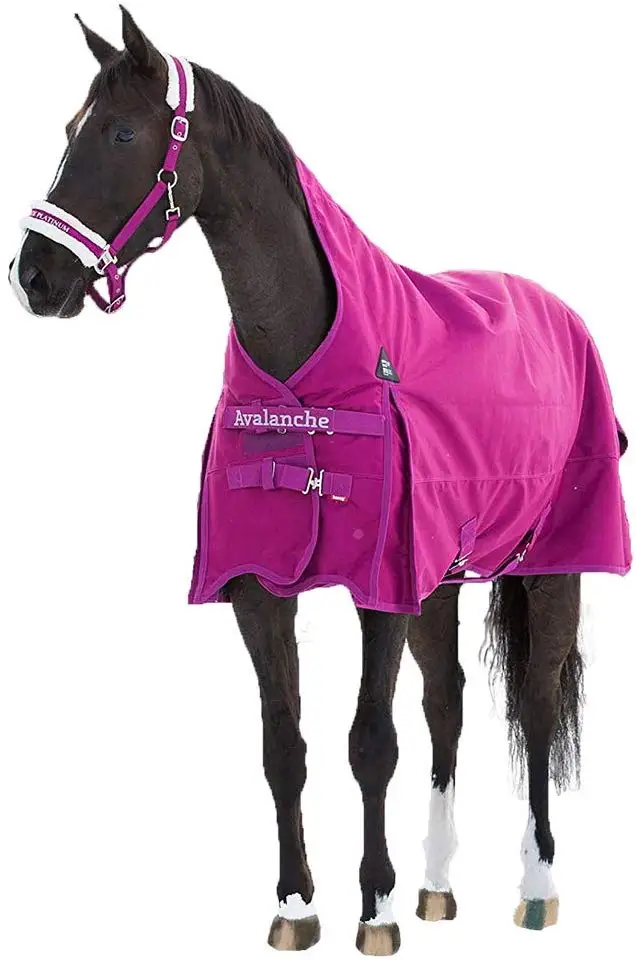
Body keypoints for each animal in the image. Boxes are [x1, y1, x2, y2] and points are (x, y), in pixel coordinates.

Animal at [9, 8, 630, 954]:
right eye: (70, 128)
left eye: (120, 132)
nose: (35, 277)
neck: (303, 365)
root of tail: (554, 308)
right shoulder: (262, 588)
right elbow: (285, 748)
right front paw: (298, 905)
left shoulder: (378, 588)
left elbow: (370, 743)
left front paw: (373, 910)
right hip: (439, 580)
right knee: (448, 702)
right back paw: (438, 887)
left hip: (550, 565)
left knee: (532, 702)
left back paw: (536, 886)